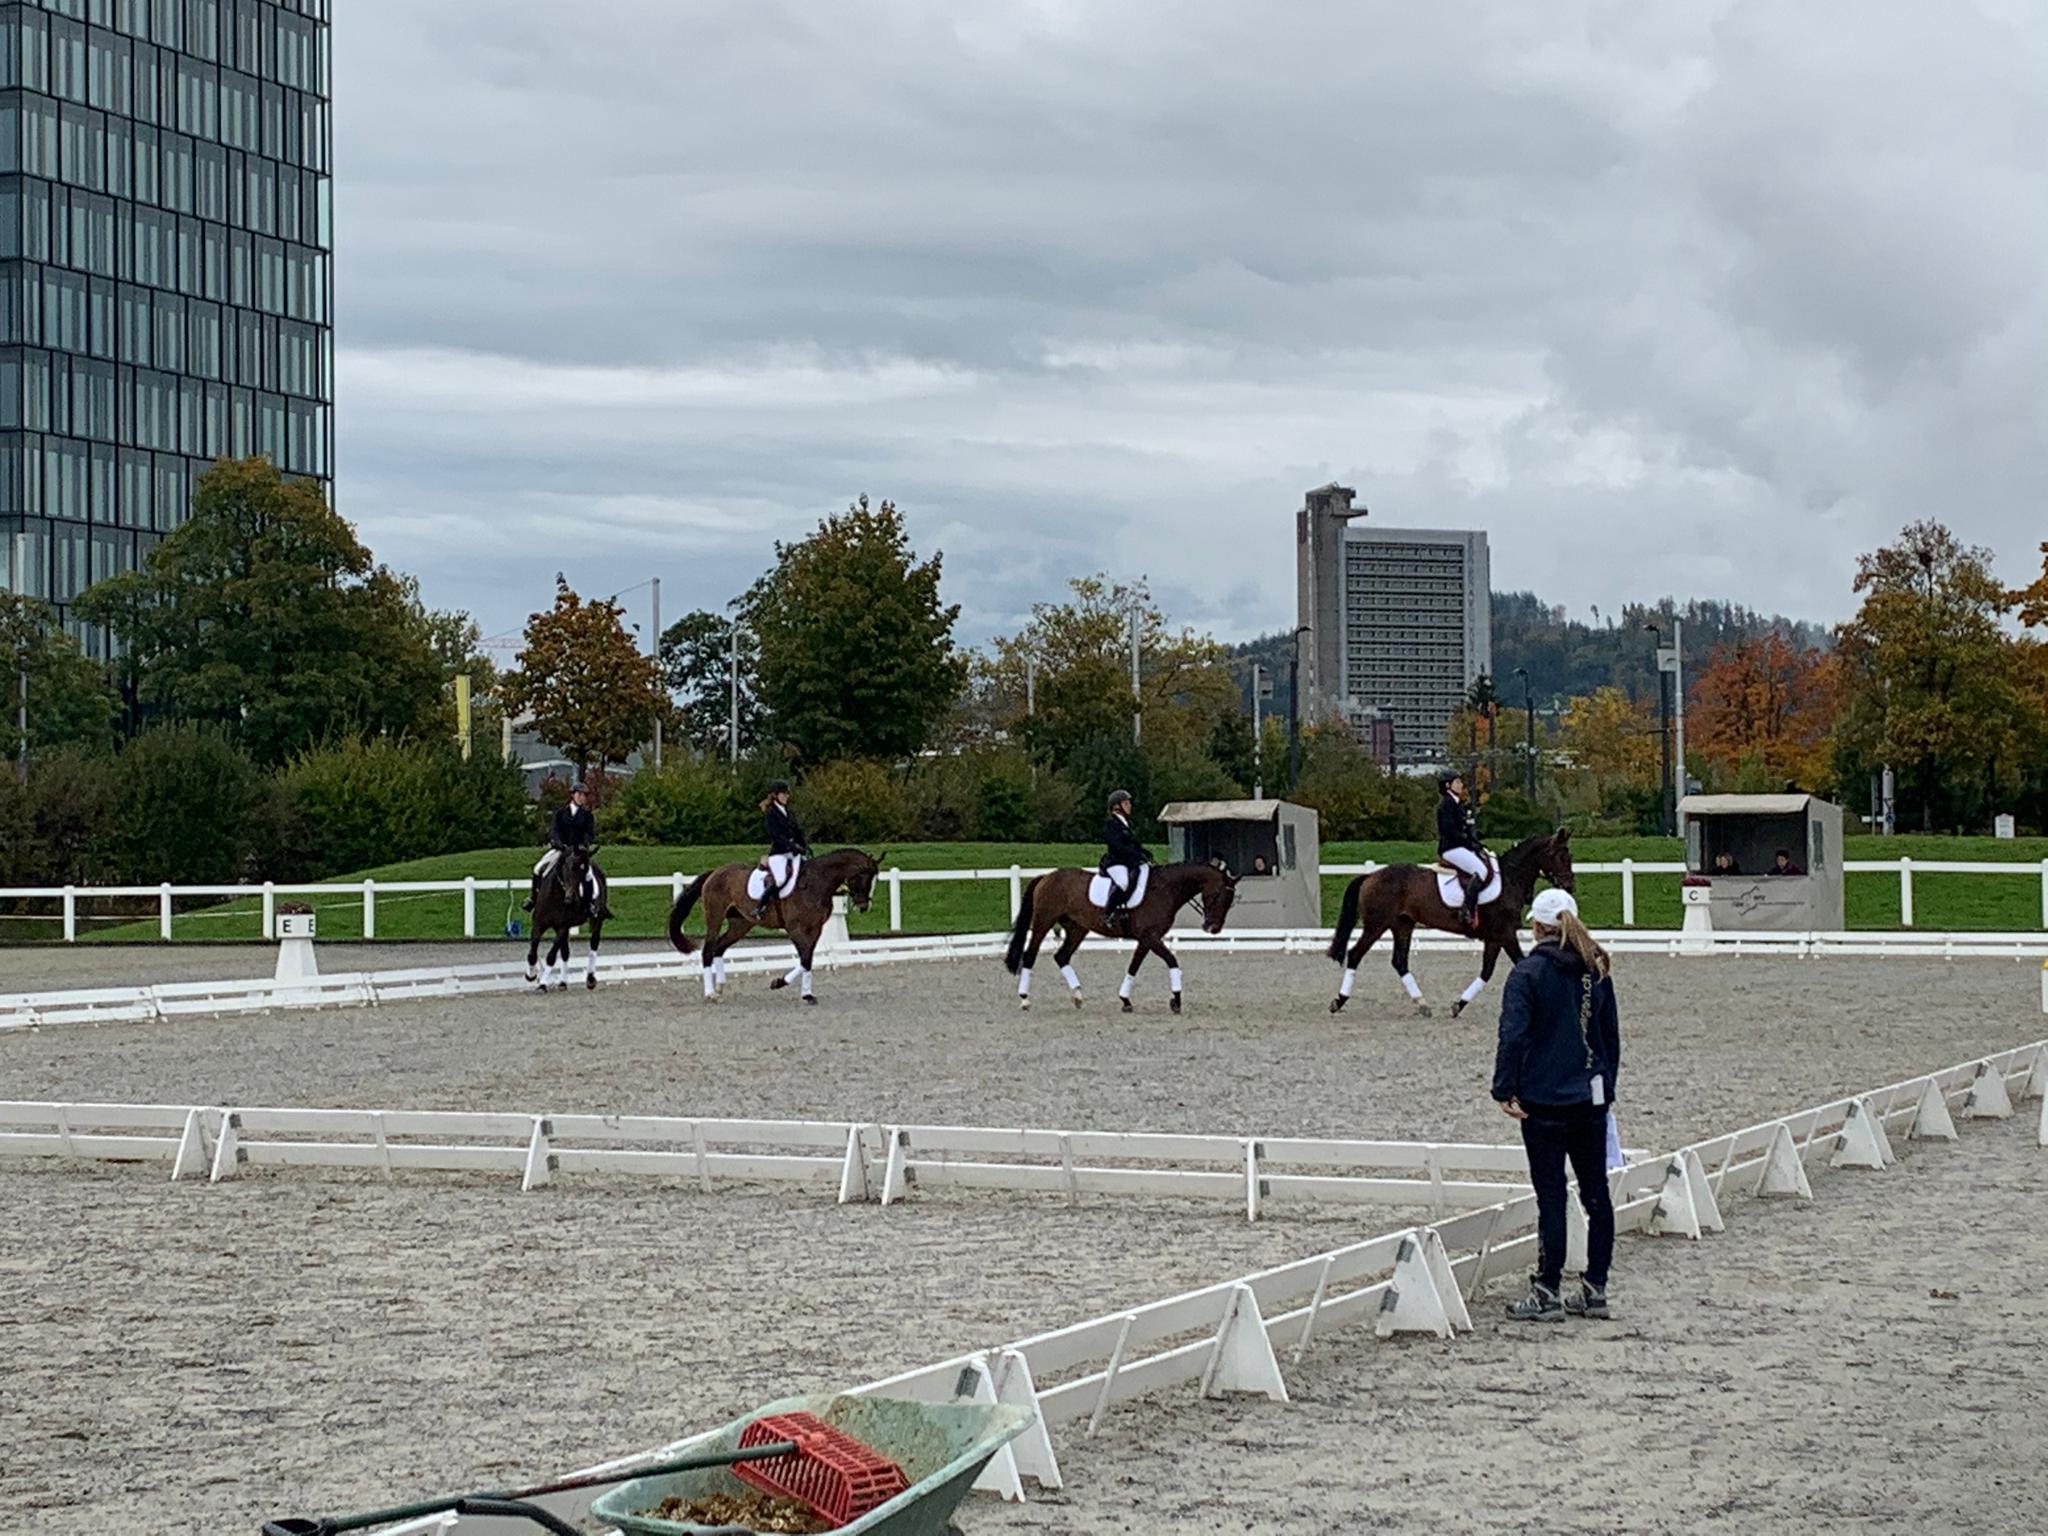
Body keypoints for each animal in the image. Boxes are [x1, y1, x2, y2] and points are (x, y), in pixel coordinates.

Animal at [667, 847, 884, 1003]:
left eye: (874, 879)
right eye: (862, 877)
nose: (863, 906)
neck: (816, 883)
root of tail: (715, 872)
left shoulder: (815, 930)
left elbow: (808, 960)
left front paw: (807, 994)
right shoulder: (795, 929)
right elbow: (805, 959)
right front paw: (779, 983)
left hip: (740, 924)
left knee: (719, 947)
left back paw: (720, 988)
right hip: (715, 916)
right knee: (708, 950)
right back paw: (710, 993)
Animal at [1003, 860, 1236, 1015]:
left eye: (1230, 900)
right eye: (1218, 895)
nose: (1212, 928)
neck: (1165, 889)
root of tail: (1046, 876)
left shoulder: (1147, 938)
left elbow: (1134, 966)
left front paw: (1125, 1000)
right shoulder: (1151, 936)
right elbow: (1172, 961)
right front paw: (1176, 1001)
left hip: (1077, 929)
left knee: (1061, 956)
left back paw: (1077, 997)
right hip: (1043, 922)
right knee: (1030, 955)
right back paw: (1025, 1000)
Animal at [1318, 831, 1572, 1024]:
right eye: (1559, 855)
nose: (1570, 886)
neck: (1510, 878)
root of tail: (1371, 875)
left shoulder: (1495, 937)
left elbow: (1487, 971)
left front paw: (1458, 1005)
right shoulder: (1506, 933)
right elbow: (1519, 962)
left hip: (1402, 925)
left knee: (1399, 962)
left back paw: (1422, 1004)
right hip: (1376, 926)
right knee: (1355, 954)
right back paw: (1339, 1001)